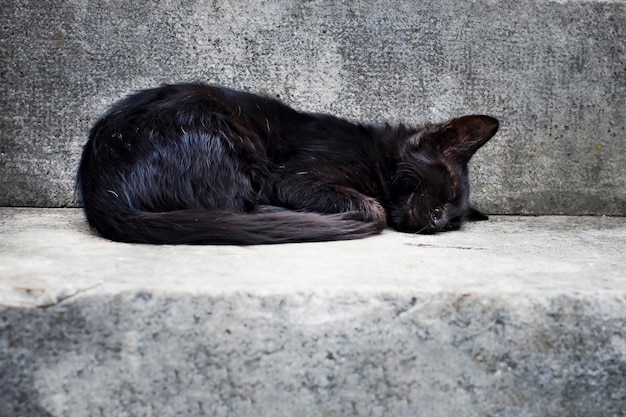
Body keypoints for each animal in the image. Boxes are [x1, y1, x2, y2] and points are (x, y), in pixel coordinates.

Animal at [77, 82, 498, 244]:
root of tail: (100, 190)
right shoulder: (294, 177)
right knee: (229, 206)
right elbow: (375, 208)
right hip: (218, 124)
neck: (377, 157)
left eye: (453, 223)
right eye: (446, 192)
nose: (438, 222)